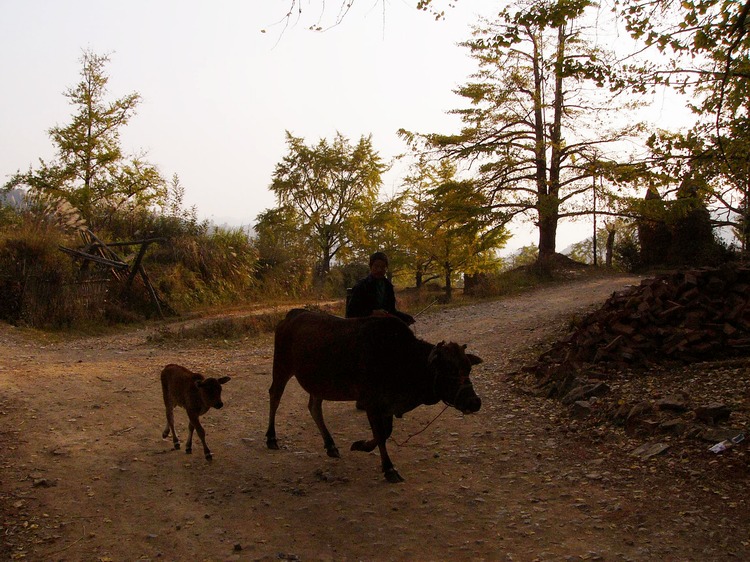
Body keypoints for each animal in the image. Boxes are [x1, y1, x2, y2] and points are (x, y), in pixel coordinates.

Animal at [268, 308, 484, 480]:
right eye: (449, 370)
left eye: (468, 368)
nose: (474, 402)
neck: (402, 357)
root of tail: (292, 314)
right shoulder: (371, 402)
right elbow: (381, 434)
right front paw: (389, 468)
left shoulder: (387, 405)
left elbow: (385, 432)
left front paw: (361, 445)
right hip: (281, 367)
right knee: (275, 397)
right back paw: (271, 438)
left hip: (319, 384)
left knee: (314, 407)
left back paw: (330, 445)